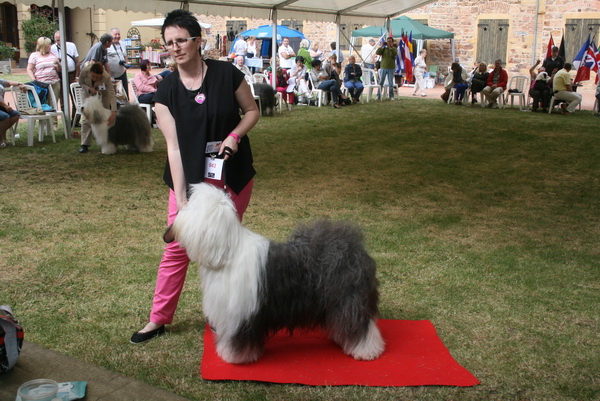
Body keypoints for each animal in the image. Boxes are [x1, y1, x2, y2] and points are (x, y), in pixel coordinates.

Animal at [171, 183, 385, 364]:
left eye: (192, 208)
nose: (176, 217)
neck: (226, 253)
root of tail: (355, 247)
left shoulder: (241, 315)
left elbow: (239, 339)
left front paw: (234, 357)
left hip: (349, 299)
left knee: (360, 326)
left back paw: (367, 351)